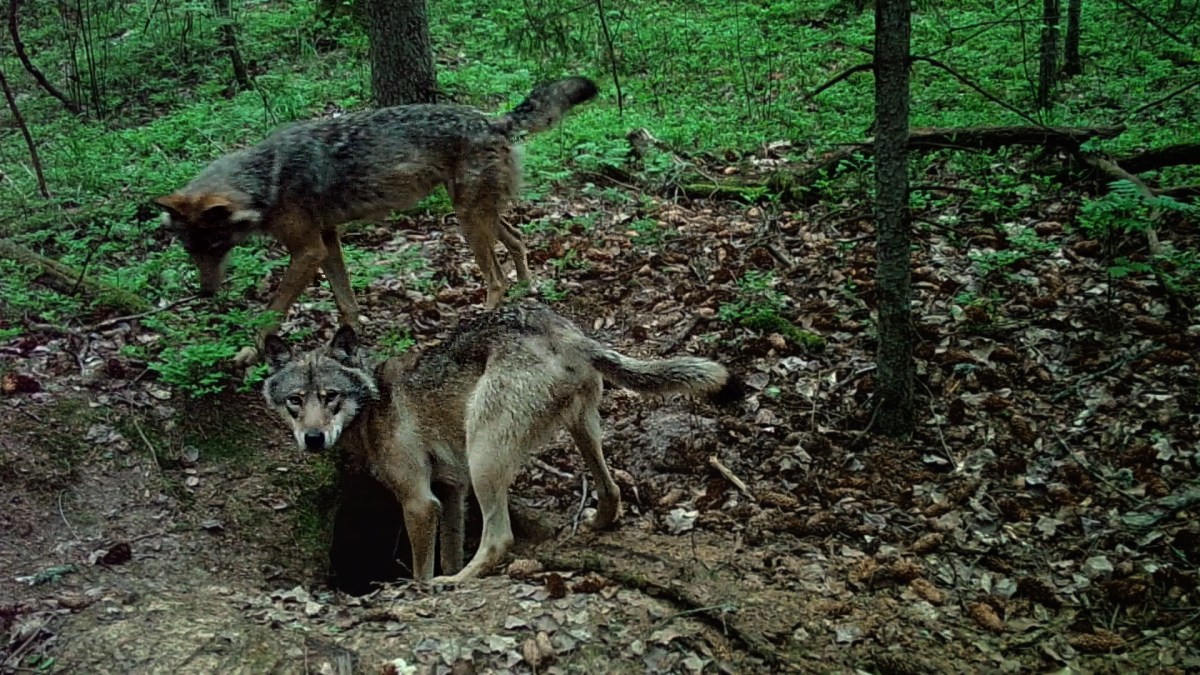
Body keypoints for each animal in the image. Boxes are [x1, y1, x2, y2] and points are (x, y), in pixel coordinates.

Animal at [155, 76, 599, 364]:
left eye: (215, 246)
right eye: (191, 251)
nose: (206, 293)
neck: (267, 179)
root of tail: (494, 119)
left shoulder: (307, 251)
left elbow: (270, 311)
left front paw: (249, 350)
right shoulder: (327, 242)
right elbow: (345, 300)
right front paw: (350, 337)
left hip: (468, 221)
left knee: (495, 279)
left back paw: (481, 320)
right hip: (479, 215)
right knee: (518, 242)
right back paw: (528, 289)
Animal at [262, 301, 742, 583]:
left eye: (330, 397)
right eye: (295, 401)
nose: (313, 439)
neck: (372, 403)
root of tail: (563, 333)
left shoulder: (420, 502)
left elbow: (422, 569)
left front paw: (424, 589)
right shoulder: (452, 493)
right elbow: (450, 548)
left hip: (485, 456)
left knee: (499, 540)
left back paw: (456, 584)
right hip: (581, 433)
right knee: (611, 491)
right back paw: (593, 525)